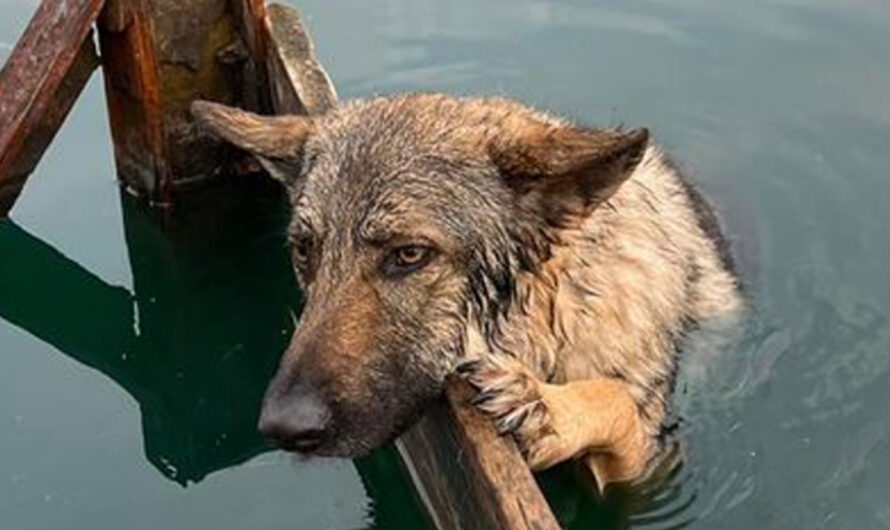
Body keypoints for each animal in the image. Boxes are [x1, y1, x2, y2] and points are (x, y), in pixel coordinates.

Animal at [191, 93, 740, 488]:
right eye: (305, 250)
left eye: (409, 255)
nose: (283, 427)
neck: (553, 309)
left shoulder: (650, 468)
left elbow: (617, 399)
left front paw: (546, 409)